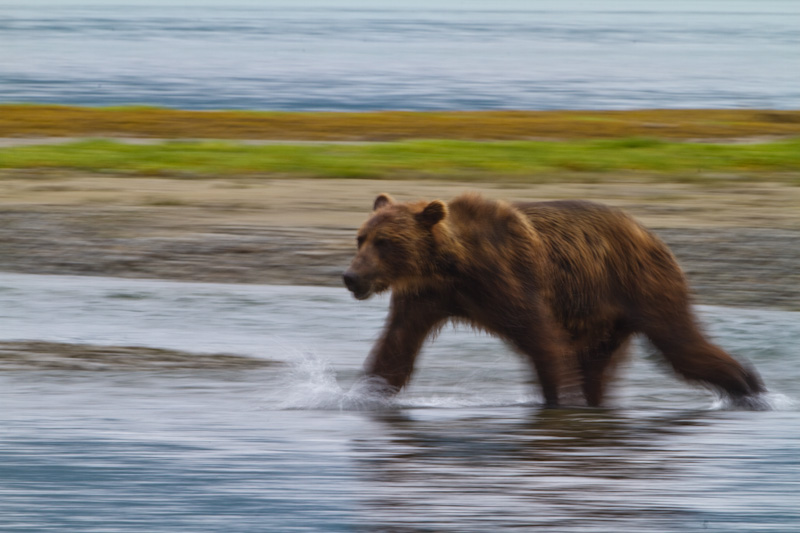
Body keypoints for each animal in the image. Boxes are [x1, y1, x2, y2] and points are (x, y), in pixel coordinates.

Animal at [340, 193, 764, 406]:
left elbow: (544, 342)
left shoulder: (508, 281)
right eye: (361, 238)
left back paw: (749, 386)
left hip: (642, 284)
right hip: (605, 318)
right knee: (598, 367)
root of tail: (650, 234)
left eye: (385, 242)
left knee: (682, 345)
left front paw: (555, 402)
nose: (351, 277)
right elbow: (394, 352)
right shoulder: (425, 297)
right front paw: (362, 393)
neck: (452, 265)